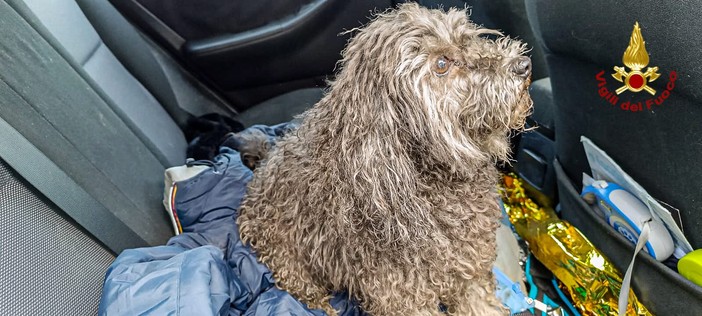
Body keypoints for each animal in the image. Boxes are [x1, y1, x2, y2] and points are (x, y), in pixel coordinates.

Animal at [238, 3, 532, 314]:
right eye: (441, 64)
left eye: (469, 39)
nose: (523, 65)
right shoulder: (401, 297)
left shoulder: (469, 272)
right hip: (288, 261)